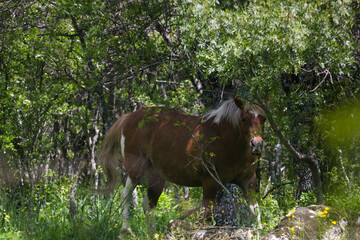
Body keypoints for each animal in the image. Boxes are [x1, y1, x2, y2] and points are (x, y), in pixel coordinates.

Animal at [97, 96, 264, 232]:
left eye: (263, 118)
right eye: (244, 118)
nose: (257, 144)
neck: (223, 138)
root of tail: (128, 117)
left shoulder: (248, 181)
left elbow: (255, 210)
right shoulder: (210, 181)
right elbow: (206, 214)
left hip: (156, 177)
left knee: (148, 204)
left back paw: (152, 234)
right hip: (135, 170)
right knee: (125, 195)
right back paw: (126, 230)